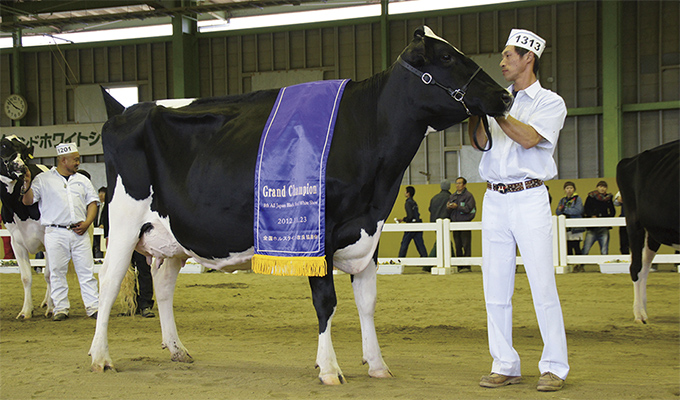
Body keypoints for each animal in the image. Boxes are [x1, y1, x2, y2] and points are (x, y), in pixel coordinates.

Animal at [0, 136, 52, 320]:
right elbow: (26, 277)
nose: (20, 166)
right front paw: (26, 311)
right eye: (3, 146)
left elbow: (49, 274)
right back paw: (46, 301)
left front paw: (53, 309)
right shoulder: (16, 242)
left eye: (23, 152)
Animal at [90, 26, 512, 382]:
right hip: (123, 220)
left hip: (172, 236)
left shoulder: (369, 231)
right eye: (447, 57)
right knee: (109, 280)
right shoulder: (318, 234)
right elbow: (326, 302)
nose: (505, 96)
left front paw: (377, 365)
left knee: (162, 285)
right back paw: (101, 357)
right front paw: (329, 368)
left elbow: (368, 302)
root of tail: (124, 111)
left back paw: (178, 350)